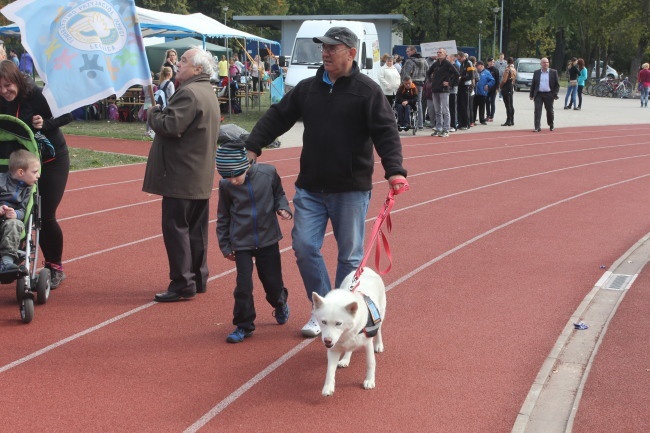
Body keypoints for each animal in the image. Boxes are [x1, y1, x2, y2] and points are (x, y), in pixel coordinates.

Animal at [310, 268, 384, 396]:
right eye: (323, 322)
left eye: (338, 323)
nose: (327, 341)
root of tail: (368, 269)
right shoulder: (333, 349)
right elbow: (330, 370)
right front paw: (328, 387)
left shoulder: (367, 344)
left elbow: (370, 363)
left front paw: (369, 380)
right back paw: (345, 359)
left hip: (381, 314)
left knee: (379, 331)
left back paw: (379, 345)